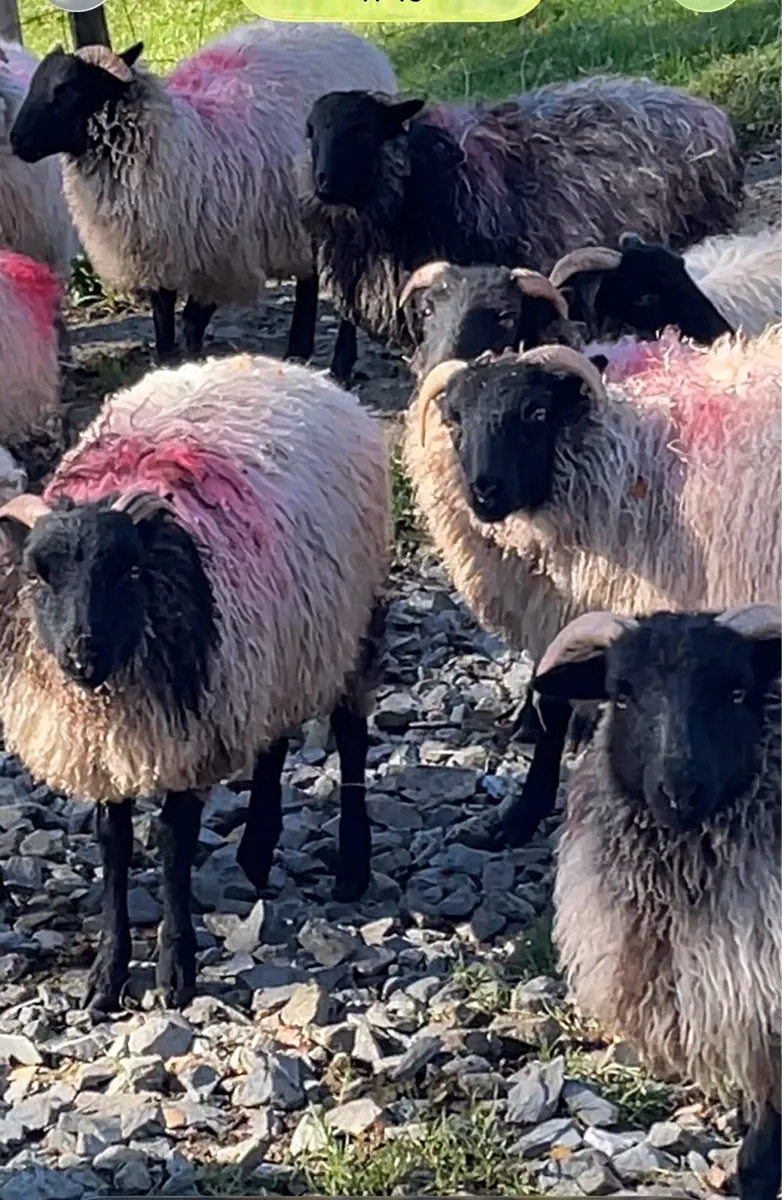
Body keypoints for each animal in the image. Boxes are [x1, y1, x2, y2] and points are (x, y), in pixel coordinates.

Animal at [0, 352, 390, 1012]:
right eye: (37, 574)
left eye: (129, 570)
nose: (82, 656)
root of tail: (294, 368)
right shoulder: (109, 743)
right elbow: (114, 842)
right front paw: (106, 974)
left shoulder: (193, 734)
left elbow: (173, 841)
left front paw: (174, 970)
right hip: (272, 654)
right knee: (272, 742)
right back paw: (256, 851)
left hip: (349, 627)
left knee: (351, 735)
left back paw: (351, 866)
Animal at [9, 23, 397, 363]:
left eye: (67, 89)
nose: (16, 141)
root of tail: (353, 38)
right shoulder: (157, 256)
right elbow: (164, 328)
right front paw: (167, 367)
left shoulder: (220, 262)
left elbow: (192, 325)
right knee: (309, 280)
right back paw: (298, 351)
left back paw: (340, 364)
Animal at [403, 329, 782, 846]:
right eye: (454, 420)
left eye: (535, 413)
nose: (484, 491)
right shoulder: (567, 616)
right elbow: (553, 703)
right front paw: (521, 815)